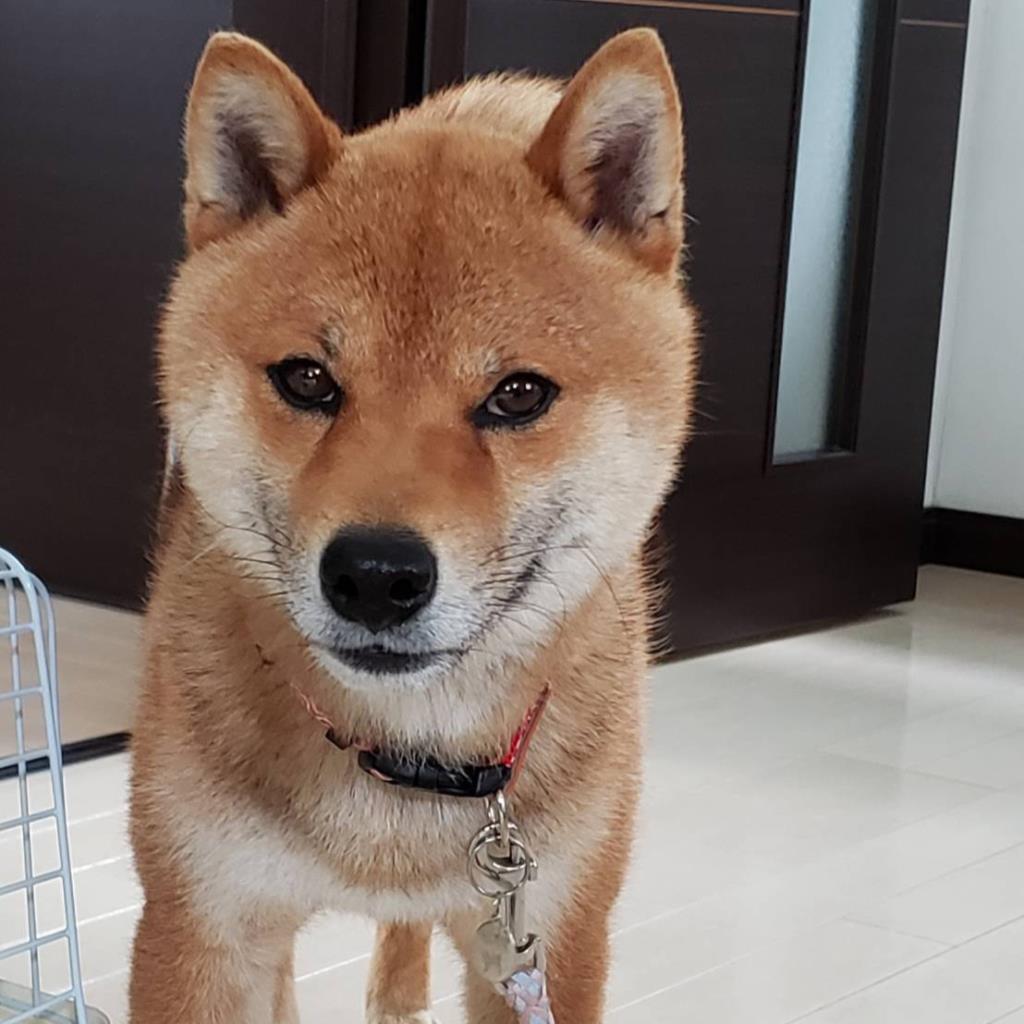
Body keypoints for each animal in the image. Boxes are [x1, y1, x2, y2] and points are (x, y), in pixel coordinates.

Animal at [129, 25, 697, 1024]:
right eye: (307, 380)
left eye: (519, 394)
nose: (375, 576)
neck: (401, 757)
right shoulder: (200, 930)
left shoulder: (545, 941)